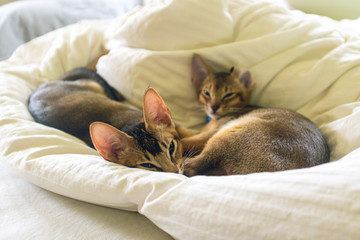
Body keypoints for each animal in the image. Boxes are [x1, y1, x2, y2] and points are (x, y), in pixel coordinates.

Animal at [181, 54, 330, 176]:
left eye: (228, 94)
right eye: (206, 93)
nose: (213, 107)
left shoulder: (209, 134)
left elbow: (185, 140)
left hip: (225, 136)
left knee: (191, 167)